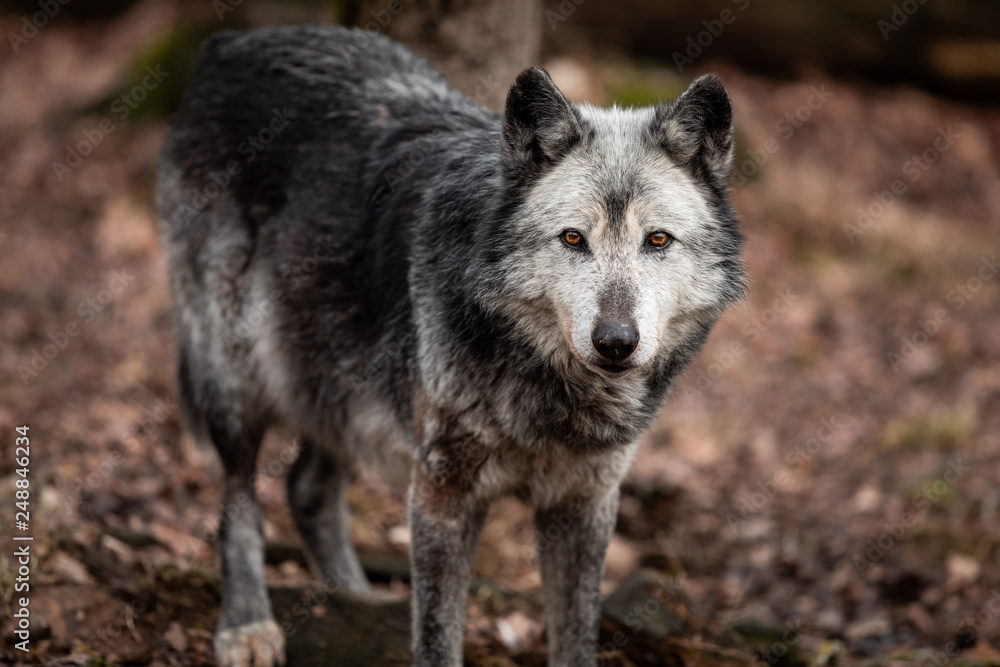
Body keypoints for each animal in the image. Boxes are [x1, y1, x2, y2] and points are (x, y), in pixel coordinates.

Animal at [156, 23, 748, 664]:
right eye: (572, 238)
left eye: (657, 240)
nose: (616, 341)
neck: (544, 391)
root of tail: (232, 41)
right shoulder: (443, 494)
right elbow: (438, 636)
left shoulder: (584, 504)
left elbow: (575, 639)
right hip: (237, 378)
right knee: (240, 502)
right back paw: (247, 625)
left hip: (337, 378)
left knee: (306, 489)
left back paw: (359, 604)